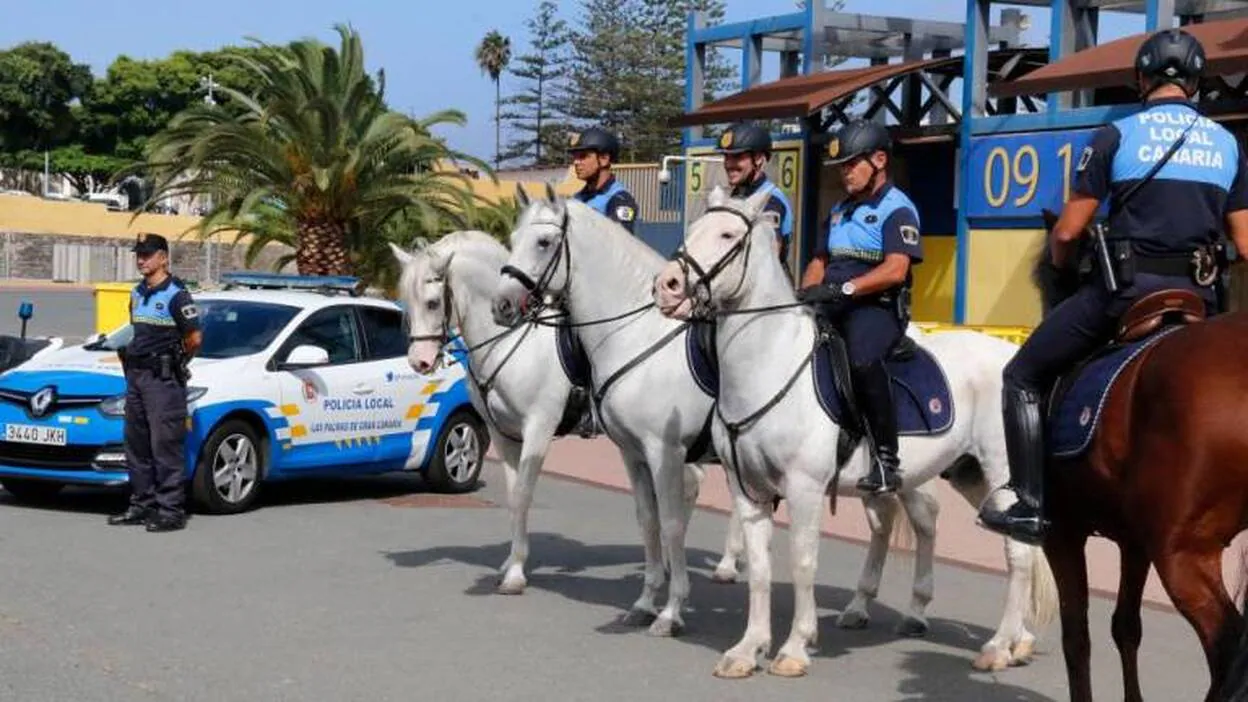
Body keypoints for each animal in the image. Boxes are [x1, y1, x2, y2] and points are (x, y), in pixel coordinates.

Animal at [653, 183, 1053, 674]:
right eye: (693, 230)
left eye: (729, 235)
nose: (667, 285)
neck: (771, 362)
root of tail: (1010, 358)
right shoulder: (748, 490)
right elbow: (760, 570)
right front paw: (747, 650)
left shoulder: (804, 488)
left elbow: (802, 563)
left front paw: (794, 647)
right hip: (969, 474)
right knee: (1016, 546)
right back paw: (1018, 641)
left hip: (1000, 473)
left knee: (1017, 553)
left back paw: (998, 646)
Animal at [1033, 208, 1248, 699]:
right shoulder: (1135, 540)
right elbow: (1126, 627)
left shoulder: (1063, 532)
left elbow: (1076, 636)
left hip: (1185, 553)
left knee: (1227, 650)